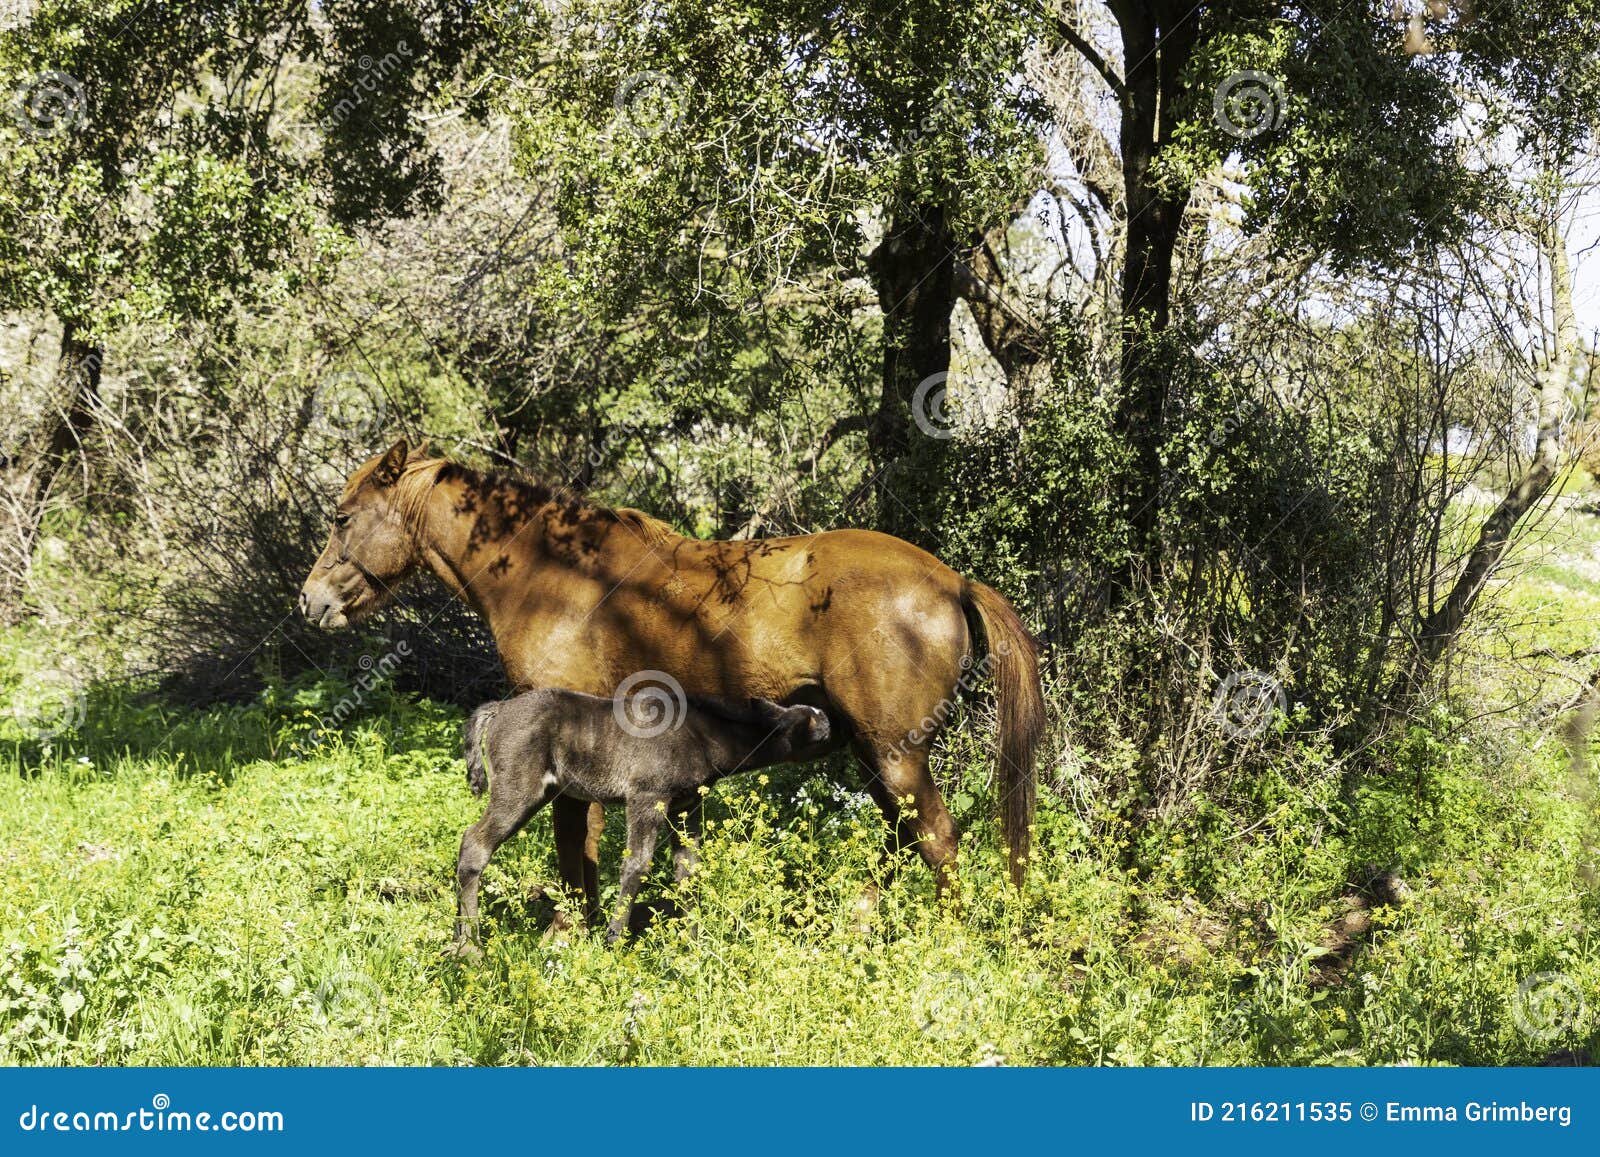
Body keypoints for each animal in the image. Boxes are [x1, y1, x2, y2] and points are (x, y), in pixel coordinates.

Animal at [298, 439, 1044, 921]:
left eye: (342, 517)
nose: (311, 601)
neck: (553, 575)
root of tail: (949, 579)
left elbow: (575, 853)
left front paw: (569, 940)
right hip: (873, 752)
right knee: (901, 839)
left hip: (892, 753)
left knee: (936, 838)